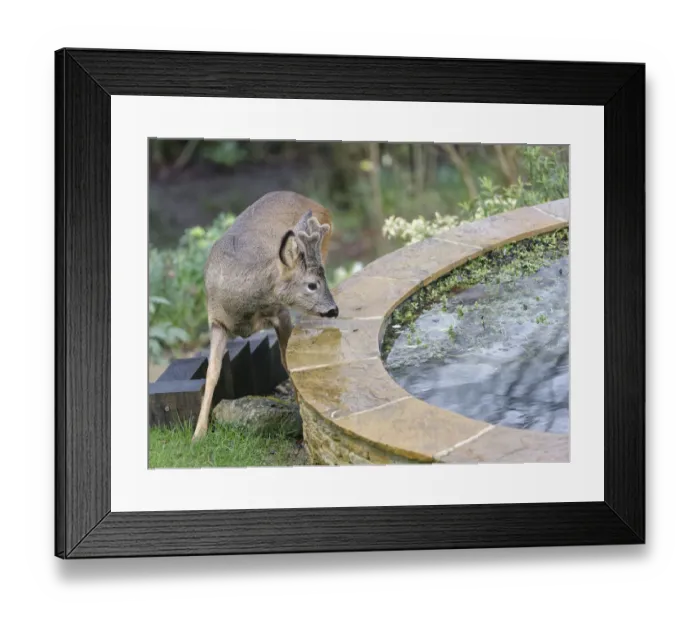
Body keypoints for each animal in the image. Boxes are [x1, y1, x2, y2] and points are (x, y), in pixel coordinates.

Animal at [191, 191, 339, 442]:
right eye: (311, 285)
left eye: (321, 281)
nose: (333, 310)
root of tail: (315, 202)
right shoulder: (216, 321)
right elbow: (212, 373)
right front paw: (198, 434)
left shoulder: (281, 311)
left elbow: (287, 360)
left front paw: (301, 417)